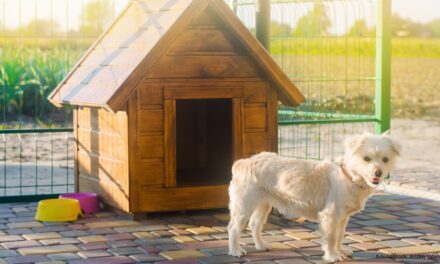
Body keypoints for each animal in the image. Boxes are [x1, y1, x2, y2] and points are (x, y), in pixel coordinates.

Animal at [229, 133, 400, 262]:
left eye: (385, 159)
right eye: (366, 159)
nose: (378, 173)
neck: (349, 176)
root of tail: (244, 162)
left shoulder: (343, 218)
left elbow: (340, 235)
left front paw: (341, 251)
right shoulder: (330, 216)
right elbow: (331, 237)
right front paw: (332, 256)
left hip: (263, 205)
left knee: (254, 225)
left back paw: (261, 245)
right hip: (244, 206)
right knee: (234, 228)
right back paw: (236, 251)